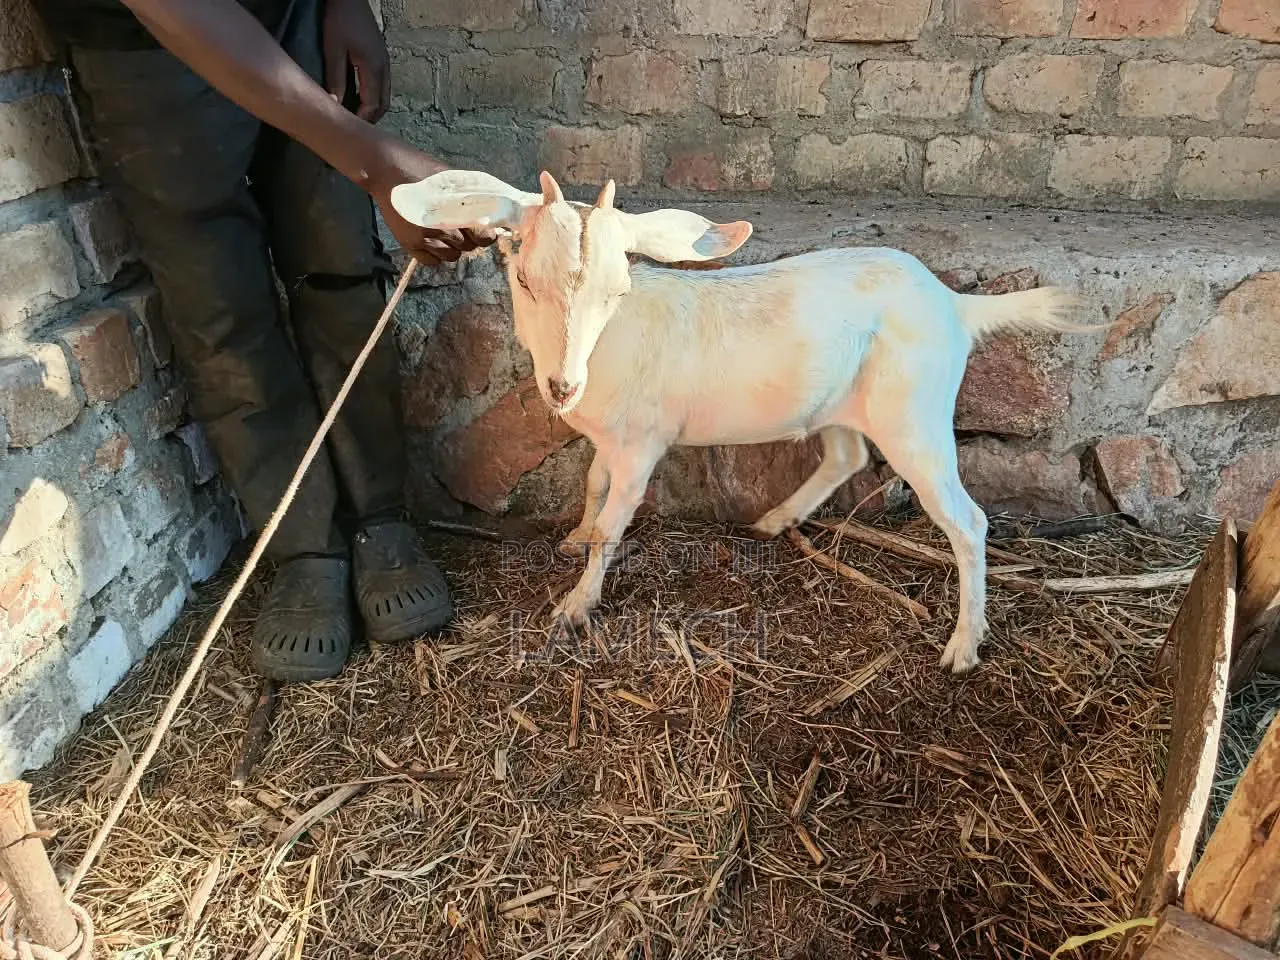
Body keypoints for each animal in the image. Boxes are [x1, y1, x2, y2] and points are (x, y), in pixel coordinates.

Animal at [391, 170, 1088, 673]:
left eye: (617, 290)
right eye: (523, 279)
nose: (562, 385)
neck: (608, 346)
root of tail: (956, 304)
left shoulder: (642, 443)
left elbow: (615, 520)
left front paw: (576, 605)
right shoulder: (610, 440)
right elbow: (592, 485)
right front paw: (574, 537)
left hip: (915, 416)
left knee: (968, 521)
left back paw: (964, 646)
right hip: (841, 403)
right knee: (847, 456)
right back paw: (775, 520)